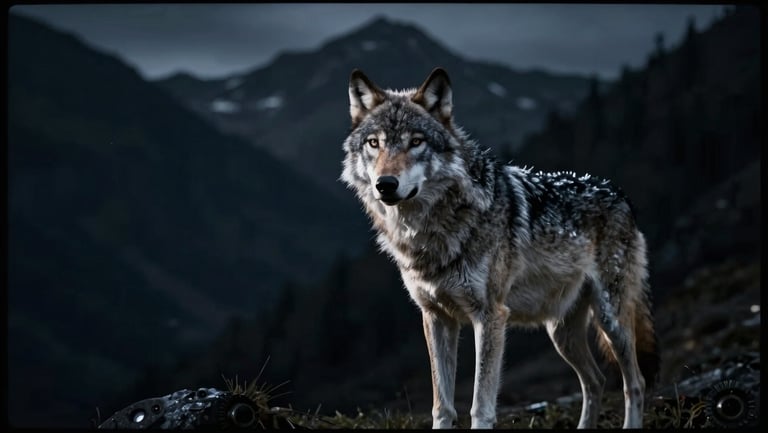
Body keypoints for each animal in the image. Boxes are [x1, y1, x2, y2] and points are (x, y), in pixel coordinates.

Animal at [340, 67, 658, 429]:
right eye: (374, 143)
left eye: (416, 142)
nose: (385, 184)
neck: (433, 230)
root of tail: (620, 194)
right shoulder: (436, 317)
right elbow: (442, 406)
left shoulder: (490, 316)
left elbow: (480, 405)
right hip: (561, 333)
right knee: (596, 381)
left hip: (611, 319)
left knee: (634, 382)